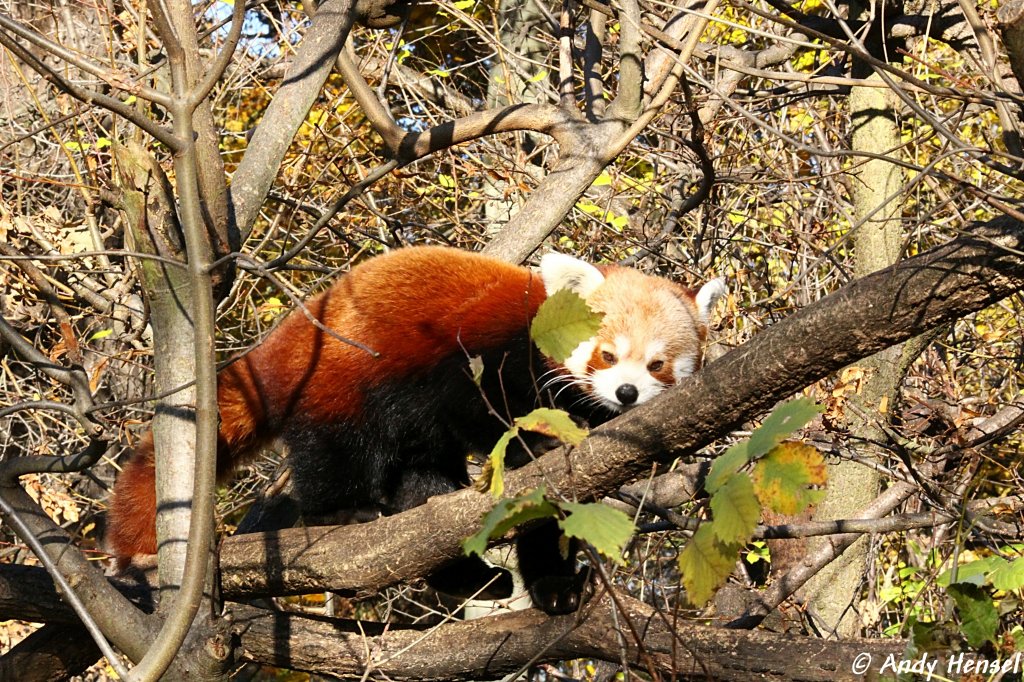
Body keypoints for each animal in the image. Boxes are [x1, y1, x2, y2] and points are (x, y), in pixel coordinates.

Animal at [108, 244, 724, 610]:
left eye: (657, 364)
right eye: (606, 354)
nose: (626, 394)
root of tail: (291, 336)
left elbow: (544, 515)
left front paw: (555, 587)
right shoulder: (477, 350)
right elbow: (478, 411)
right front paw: (531, 442)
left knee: (422, 491)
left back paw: (466, 577)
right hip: (341, 384)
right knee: (336, 452)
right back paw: (342, 512)